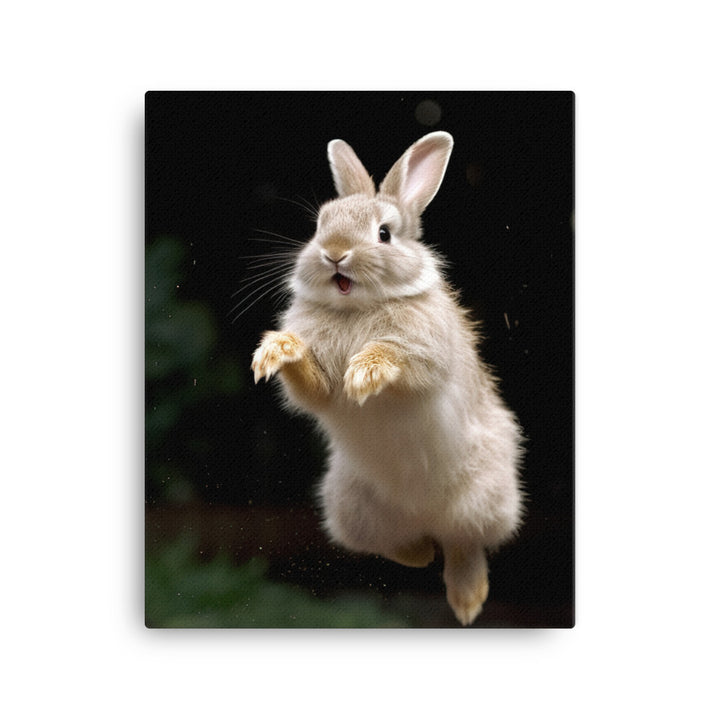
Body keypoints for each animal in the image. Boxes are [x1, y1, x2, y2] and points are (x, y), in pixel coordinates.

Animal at [251, 131, 524, 626]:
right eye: (320, 225)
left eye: (384, 234)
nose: (334, 253)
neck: (357, 308)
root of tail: (424, 516)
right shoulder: (319, 389)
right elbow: (313, 387)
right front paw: (277, 350)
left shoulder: (427, 356)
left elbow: (401, 358)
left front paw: (366, 371)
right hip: (348, 508)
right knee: (403, 547)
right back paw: (421, 554)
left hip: (485, 501)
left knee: (464, 545)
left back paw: (468, 601)